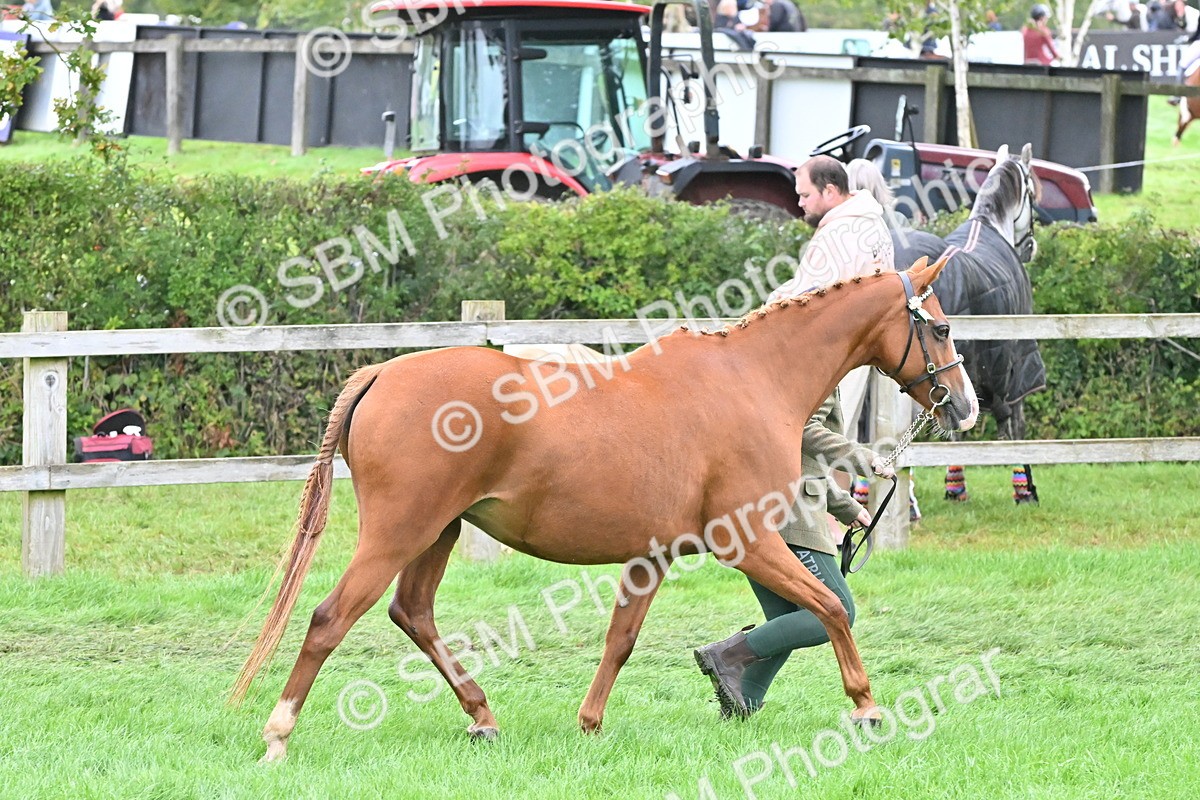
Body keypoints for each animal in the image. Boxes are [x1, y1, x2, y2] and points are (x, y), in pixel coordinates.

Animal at [231, 257, 978, 763]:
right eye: (941, 327)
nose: (966, 408)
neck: (750, 380)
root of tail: (382, 372)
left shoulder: (652, 556)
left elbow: (621, 639)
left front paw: (589, 724)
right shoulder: (747, 542)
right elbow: (828, 609)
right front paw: (867, 706)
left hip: (437, 533)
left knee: (412, 612)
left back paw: (482, 716)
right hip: (399, 532)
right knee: (330, 619)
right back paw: (277, 733)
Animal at [886, 144, 1045, 503]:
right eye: (1032, 192)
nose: (1031, 248)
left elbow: (957, 429)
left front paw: (955, 484)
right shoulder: (1014, 366)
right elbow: (1013, 426)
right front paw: (1025, 488)